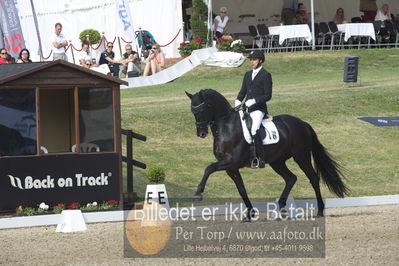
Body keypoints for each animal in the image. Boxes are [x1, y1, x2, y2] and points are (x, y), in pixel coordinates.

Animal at [186, 89, 348, 220]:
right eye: (193, 112)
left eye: (203, 109)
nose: (201, 133)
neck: (227, 127)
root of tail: (302, 123)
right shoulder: (231, 168)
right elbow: (241, 189)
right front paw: (250, 214)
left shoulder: (231, 162)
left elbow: (209, 168)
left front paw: (198, 194)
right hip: (277, 162)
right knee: (291, 178)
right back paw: (279, 209)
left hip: (301, 157)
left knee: (313, 178)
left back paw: (319, 211)